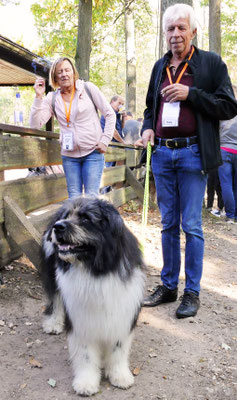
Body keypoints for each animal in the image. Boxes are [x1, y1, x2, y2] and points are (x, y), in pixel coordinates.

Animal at [41, 195, 144, 396]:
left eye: (86, 219)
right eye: (66, 216)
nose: (58, 226)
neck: (96, 270)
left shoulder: (123, 311)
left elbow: (118, 349)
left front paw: (119, 375)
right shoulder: (81, 318)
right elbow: (86, 354)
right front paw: (86, 382)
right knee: (56, 299)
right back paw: (54, 323)